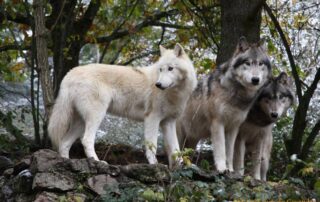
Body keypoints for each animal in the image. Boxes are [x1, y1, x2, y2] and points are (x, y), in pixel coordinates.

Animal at [47, 43, 198, 168]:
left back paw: (66, 162)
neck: (176, 93)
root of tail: (70, 73)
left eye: (171, 69)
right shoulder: (152, 118)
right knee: (86, 140)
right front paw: (155, 165)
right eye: (161, 69)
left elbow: (176, 149)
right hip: (96, 116)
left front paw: (181, 168)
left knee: (64, 143)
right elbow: (152, 146)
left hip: (81, 122)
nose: (158, 84)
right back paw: (97, 161)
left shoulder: (169, 122)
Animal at [176, 36, 272, 172]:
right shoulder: (217, 123)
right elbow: (221, 150)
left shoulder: (233, 128)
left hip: (192, 140)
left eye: (260, 64)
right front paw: (222, 169)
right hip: (180, 134)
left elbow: (230, 152)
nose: (255, 80)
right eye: (247, 63)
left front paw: (230, 170)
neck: (236, 94)